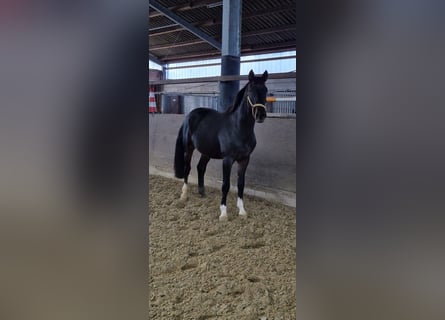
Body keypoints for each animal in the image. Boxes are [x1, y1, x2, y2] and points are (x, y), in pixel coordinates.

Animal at [173, 69, 268, 220]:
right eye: (250, 91)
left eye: (265, 90)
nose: (260, 115)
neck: (238, 128)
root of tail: (189, 115)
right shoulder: (227, 160)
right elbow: (226, 185)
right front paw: (223, 213)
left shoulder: (244, 159)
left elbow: (241, 184)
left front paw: (242, 211)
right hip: (189, 148)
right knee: (187, 168)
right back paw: (184, 195)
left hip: (206, 151)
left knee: (200, 167)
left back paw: (202, 193)